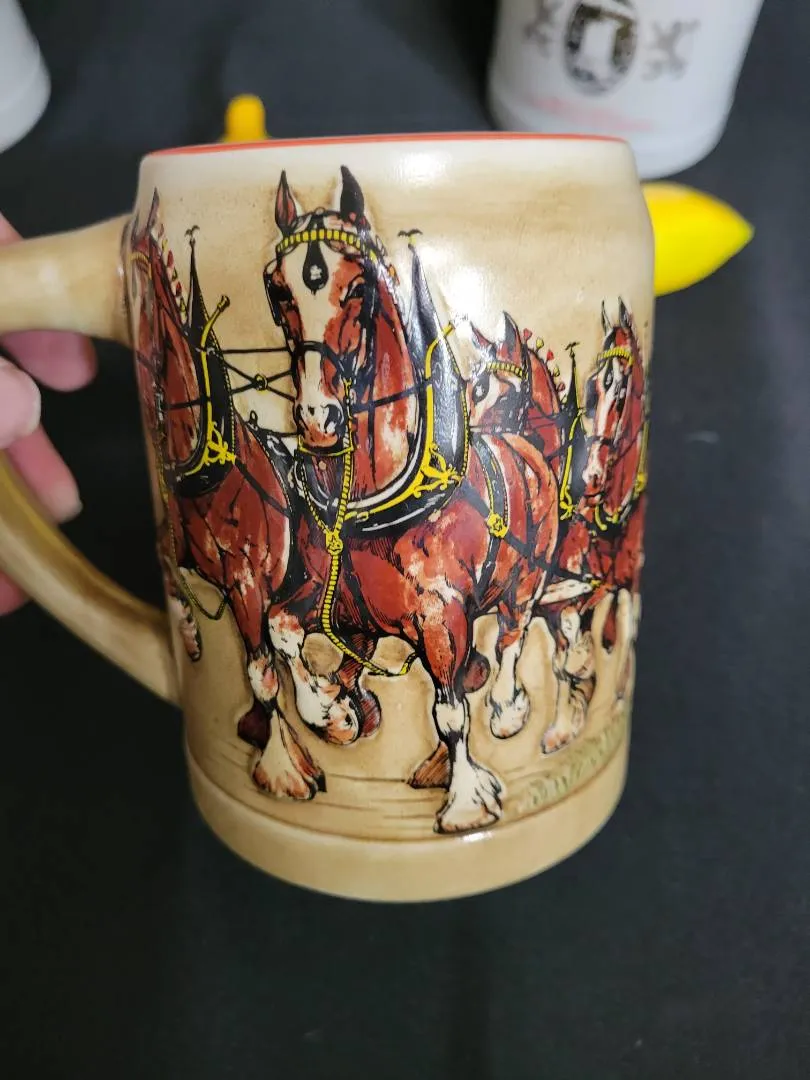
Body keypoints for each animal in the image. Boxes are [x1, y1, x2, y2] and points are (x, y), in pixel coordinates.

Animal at [127, 191, 374, 803]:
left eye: (152, 309)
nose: (150, 391)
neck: (211, 474)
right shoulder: (185, 548)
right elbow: (167, 561)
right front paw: (190, 633)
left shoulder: (254, 586)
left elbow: (267, 667)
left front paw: (292, 756)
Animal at [263, 166, 561, 833]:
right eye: (276, 288)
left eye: (358, 288)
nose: (318, 418)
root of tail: (525, 446)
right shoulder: (326, 597)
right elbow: (281, 631)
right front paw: (331, 710)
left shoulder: (442, 618)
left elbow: (450, 710)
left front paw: (467, 800)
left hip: (526, 576)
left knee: (511, 632)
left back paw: (506, 708)